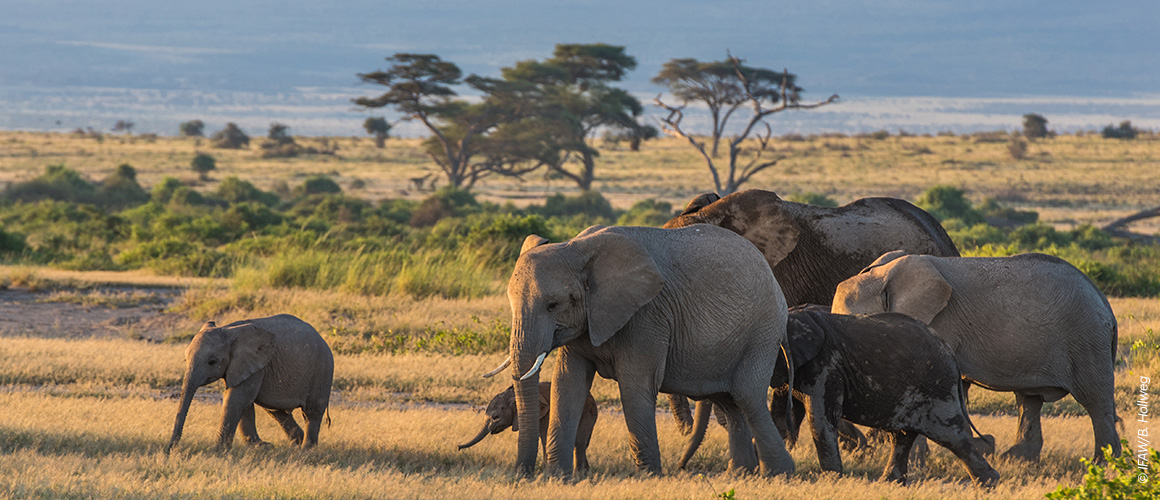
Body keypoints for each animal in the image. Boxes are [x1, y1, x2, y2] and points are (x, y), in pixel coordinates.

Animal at [166, 314, 334, 453]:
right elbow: (243, 403)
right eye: (185, 359)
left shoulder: (256, 364)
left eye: (212, 362)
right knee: (276, 411)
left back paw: (306, 450)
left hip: (322, 370)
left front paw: (219, 451)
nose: (170, 451)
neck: (228, 330)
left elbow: (237, 399)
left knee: (311, 412)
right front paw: (260, 447)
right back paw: (296, 444)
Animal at [457, 382, 598, 474]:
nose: (458, 447)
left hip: (588, 413)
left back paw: (580, 475)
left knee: (579, 444)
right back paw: (586, 474)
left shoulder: (546, 413)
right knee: (581, 444)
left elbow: (546, 438)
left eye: (496, 417)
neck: (514, 394)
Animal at [487, 224, 795, 477]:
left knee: (746, 395)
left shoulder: (647, 315)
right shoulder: (585, 322)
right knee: (729, 402)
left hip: (762, 332)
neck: (576, 247)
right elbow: (567, 385)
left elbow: (635, 386)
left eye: (553, 305)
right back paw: (741, 474)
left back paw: (780, 474)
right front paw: (556, 478)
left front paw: (649, 476)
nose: (523, 473)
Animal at [832, 251, 1121, 462]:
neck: (883, 274)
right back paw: (1015, 459)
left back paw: (1104, 464)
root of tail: (1105, 303)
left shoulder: (939, 323)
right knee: (1029, 400)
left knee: (1095, 400)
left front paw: (917, 459)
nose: (860, 449)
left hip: (1086, 339)